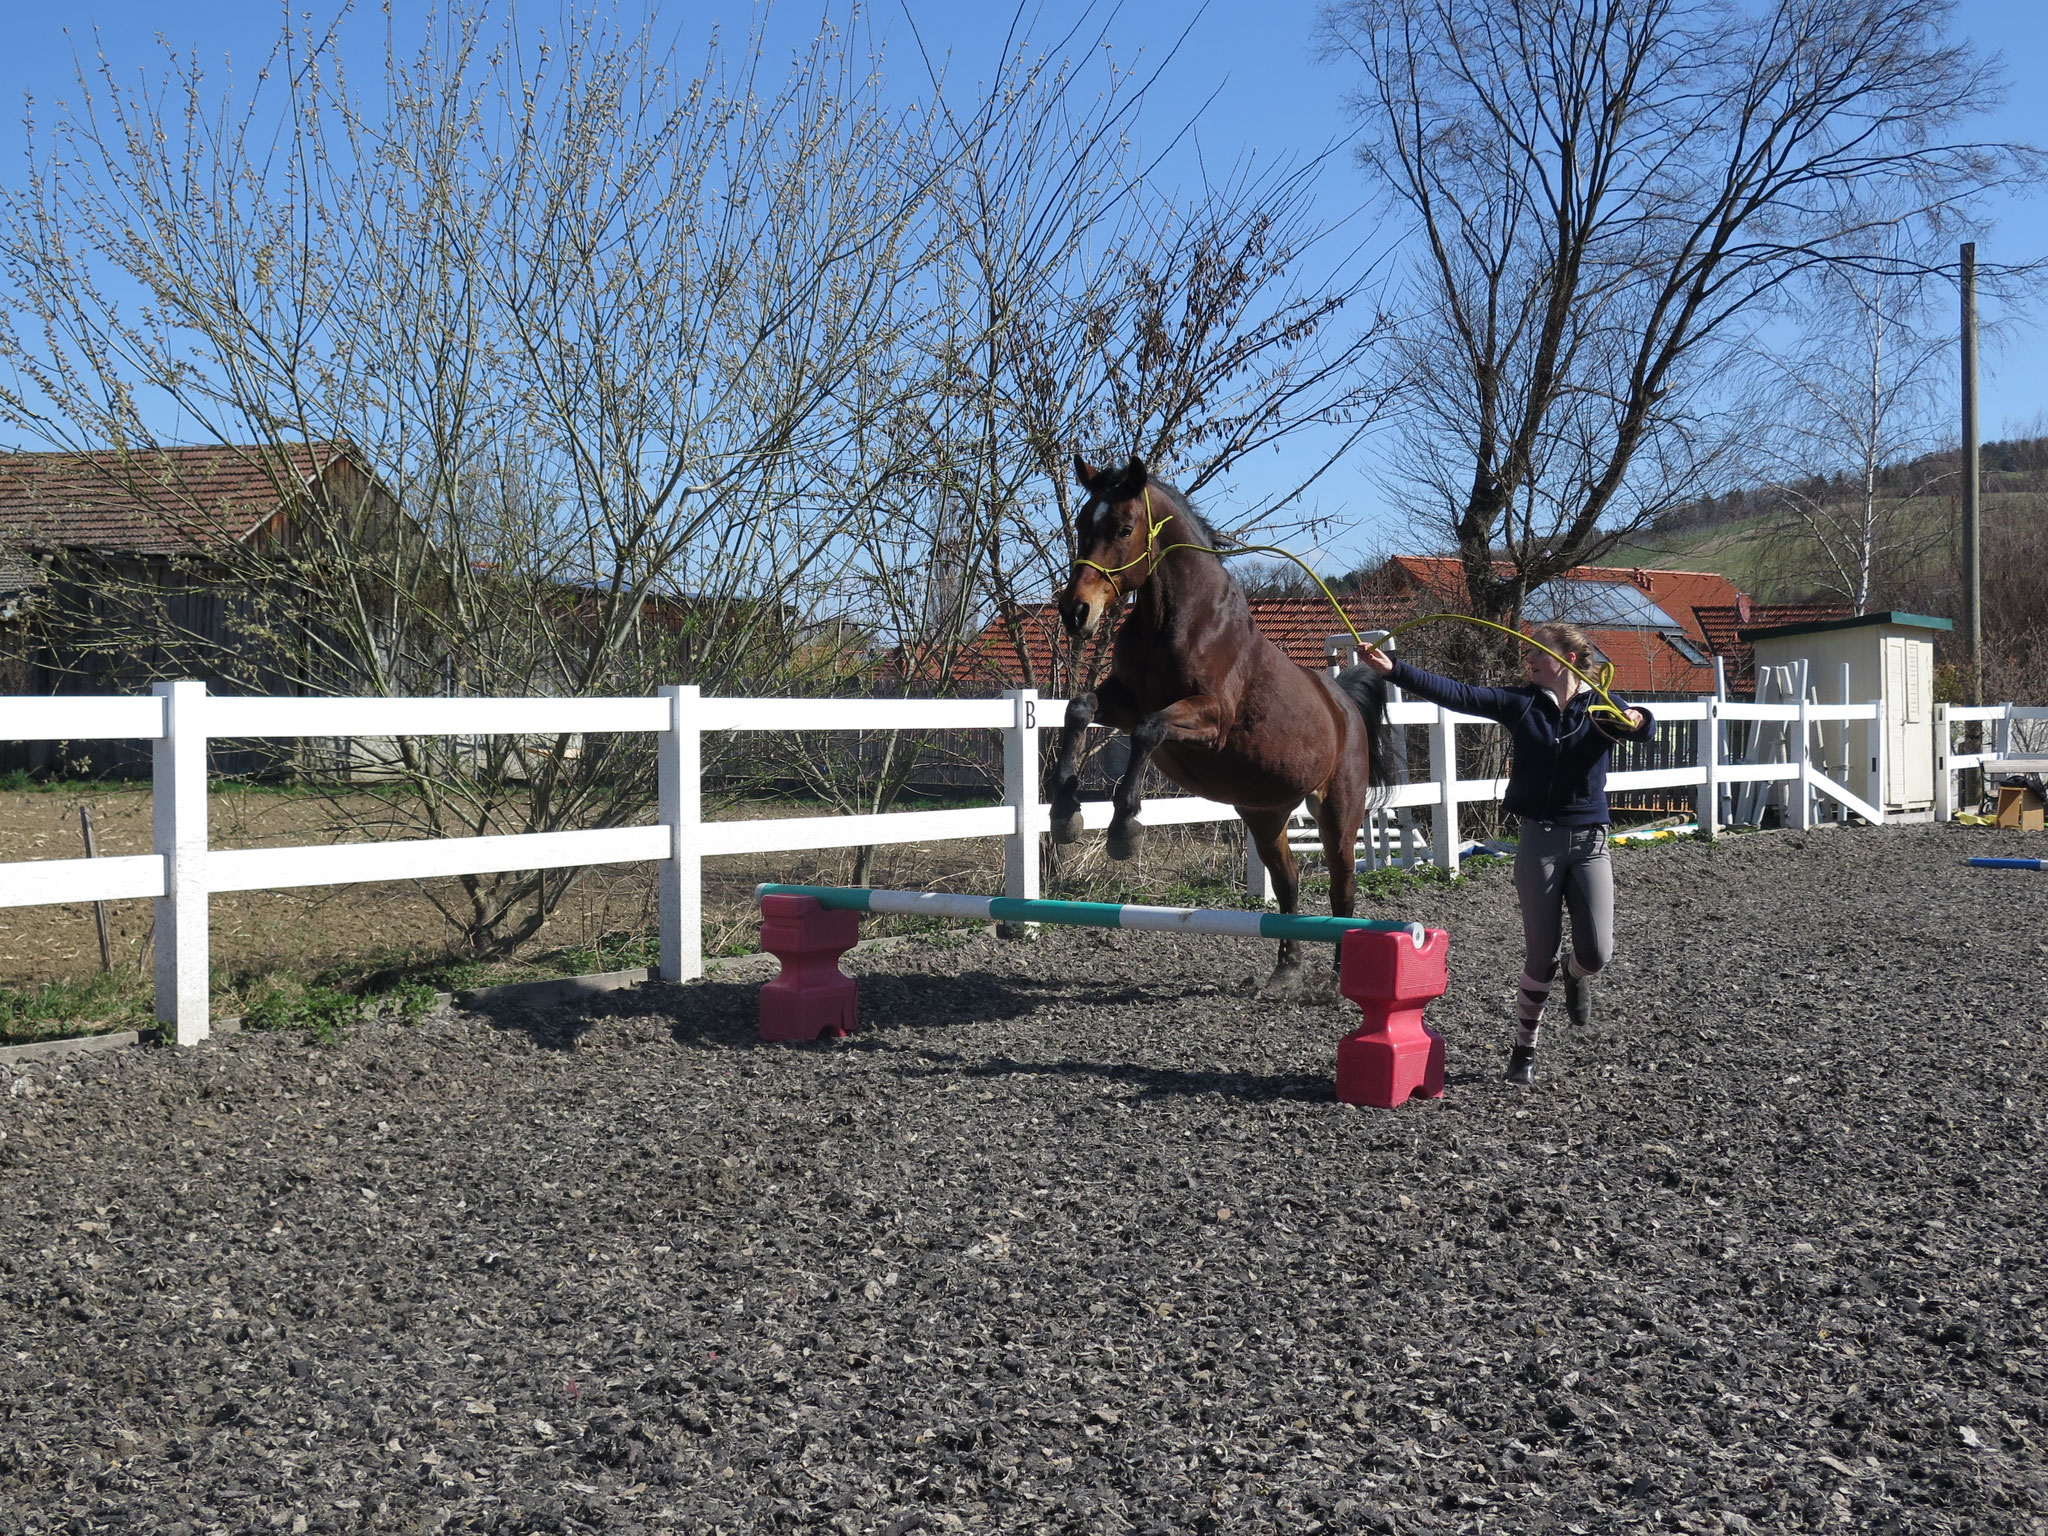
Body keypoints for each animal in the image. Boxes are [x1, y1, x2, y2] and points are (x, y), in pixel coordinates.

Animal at [1050, 453, 1395, 989]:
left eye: (1124, 527)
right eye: (1085, 524)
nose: (1075, 612)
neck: (1178, 621)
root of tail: (1344, 704)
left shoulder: (1210, 722)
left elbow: (1149, 730)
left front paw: (1124, 828)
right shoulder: (1122, 701)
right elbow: (1079, 708)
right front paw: (1065, 813)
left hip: (1338, 812)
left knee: (1343, 884)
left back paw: (1342, 975)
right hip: (1265, 814)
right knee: (1288, 880)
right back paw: (1286, 969)